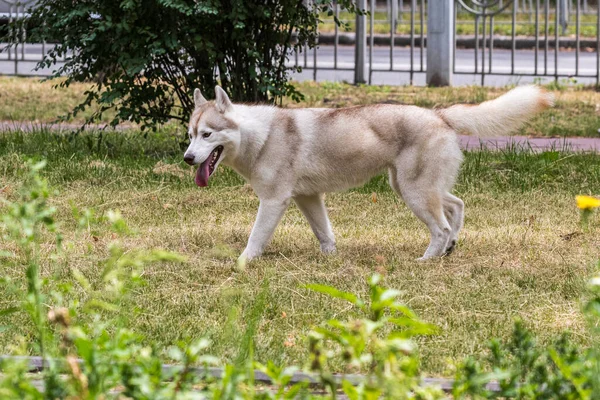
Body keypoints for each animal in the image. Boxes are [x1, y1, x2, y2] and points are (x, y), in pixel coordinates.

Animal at [183, 85, 552, 262]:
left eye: (208, 135)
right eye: (190, 134)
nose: (187, 158)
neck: (260, 135)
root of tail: (439, 114)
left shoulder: (274, 202)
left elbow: (255, 239)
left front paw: (242, 263)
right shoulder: (308, 198)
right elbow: (325, 234)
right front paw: (330, 259)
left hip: (415, 194)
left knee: (442, 227)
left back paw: (428, 259)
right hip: (413, 187)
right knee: (457, 206)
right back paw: (450, 248)